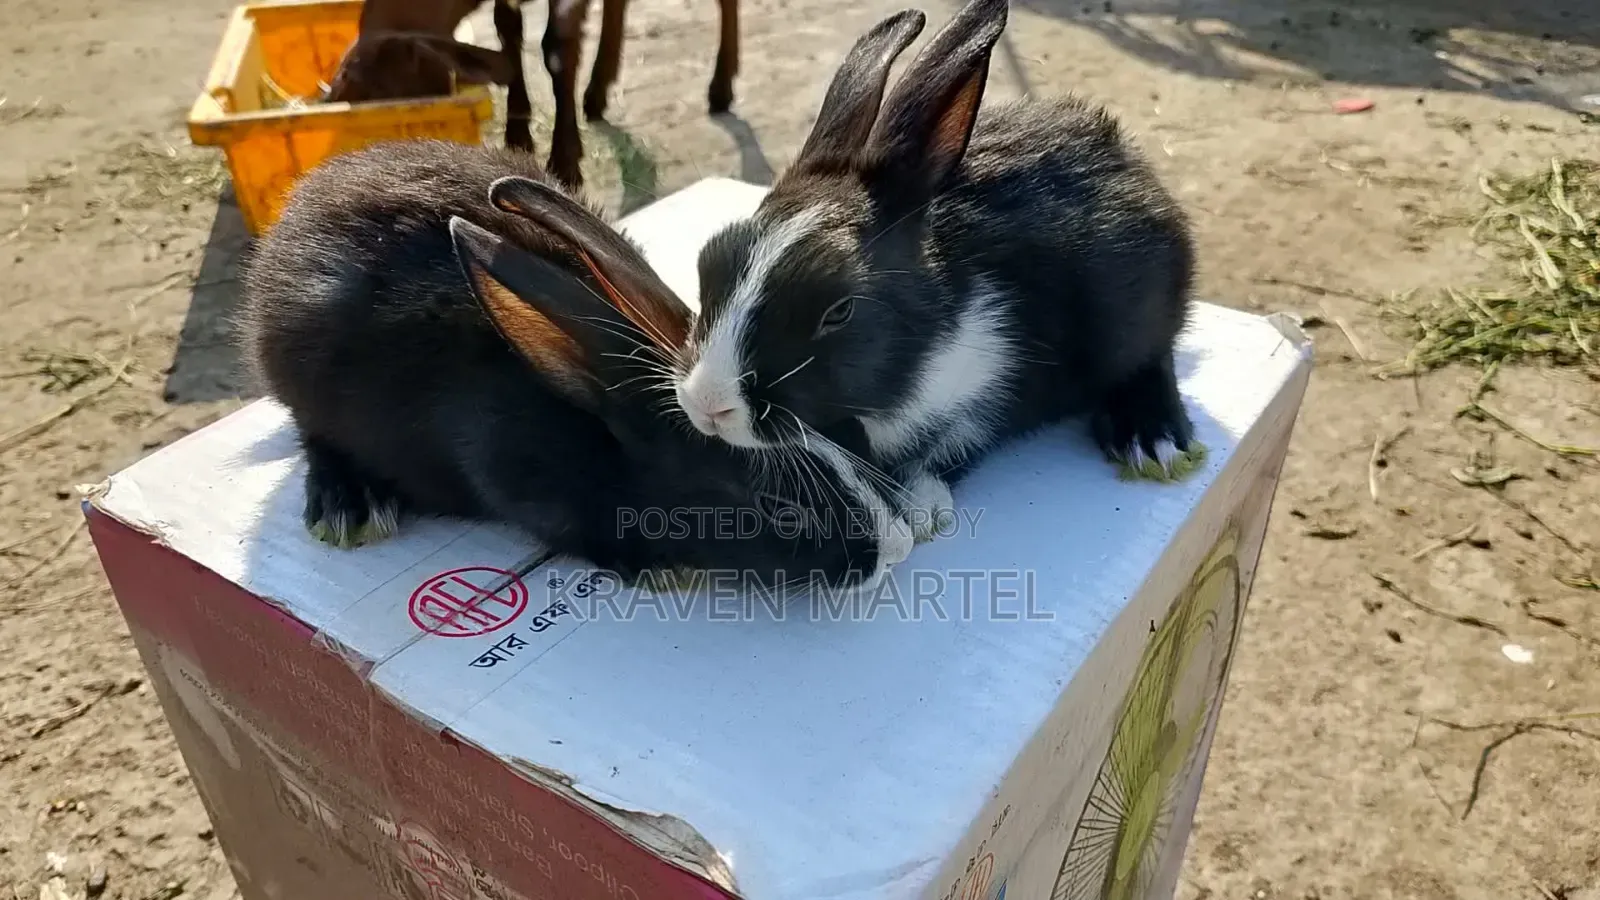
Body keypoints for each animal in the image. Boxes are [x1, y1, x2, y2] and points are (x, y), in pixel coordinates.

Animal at [236, 139, 911, 593]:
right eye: (777, 509)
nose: (895, 548)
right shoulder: (511, 473)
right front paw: (662, 568)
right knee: (313, 435)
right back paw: (347, 507)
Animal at [670, 0, 1196, 542]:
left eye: (839, 311)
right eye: (708, 262)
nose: (706, 404)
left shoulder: (991, 381)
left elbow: (951, 446)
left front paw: (918, 505)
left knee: (1153, 356)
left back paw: (1148, 437)